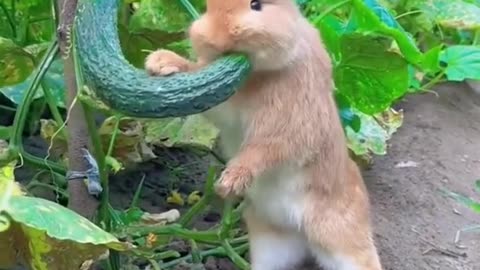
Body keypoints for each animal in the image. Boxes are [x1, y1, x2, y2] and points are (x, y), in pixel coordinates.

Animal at [144, 1, 384, 268]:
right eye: (208, 8)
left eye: (256, 5)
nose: (216, 38)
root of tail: (299, 230)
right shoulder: (227, 105)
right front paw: (160, 62)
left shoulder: (288, 125)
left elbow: (262, 151)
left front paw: (228, 183)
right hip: (270, 242)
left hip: (340, 240)